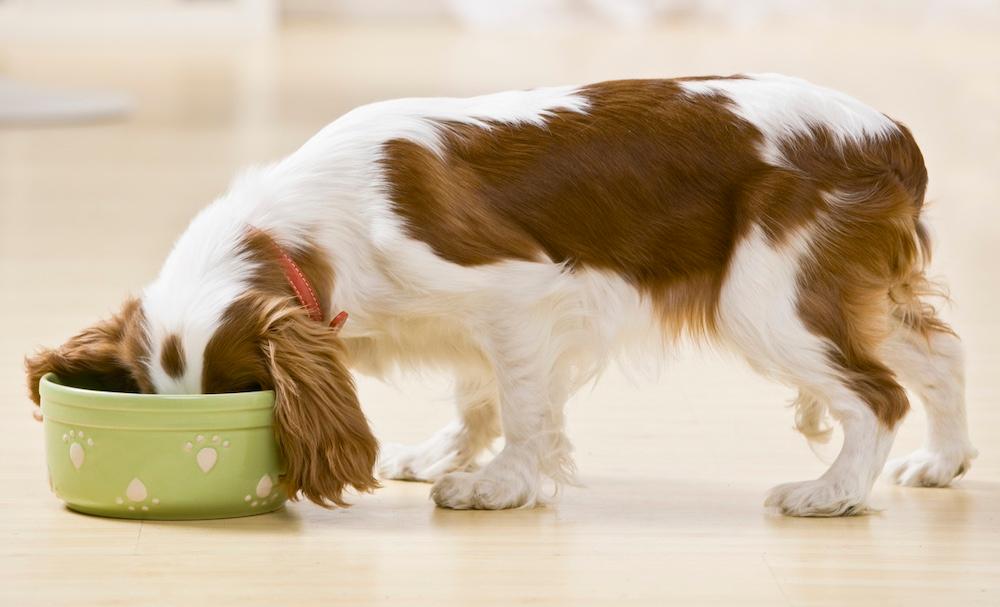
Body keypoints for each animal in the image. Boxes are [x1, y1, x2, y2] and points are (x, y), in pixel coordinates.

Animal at [25, 73, 976, 516]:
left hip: (768, 298)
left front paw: (498, 484)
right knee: (937, 353)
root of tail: (889, 136)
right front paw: (448, 452)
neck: (305, 228)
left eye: (245, 393)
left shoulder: (515, 296)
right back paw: (944, 460)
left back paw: (832, 492)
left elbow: (521, 405)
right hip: (846, 289)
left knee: (875, 394)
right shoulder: (470, 325)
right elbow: (477, 393)